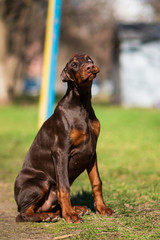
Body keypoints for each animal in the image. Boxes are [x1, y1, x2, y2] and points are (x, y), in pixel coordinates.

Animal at [14, 54, 114, 223]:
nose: (89, 67)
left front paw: (102, 208)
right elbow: (64, 187)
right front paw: (70, 216)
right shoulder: (61, 152)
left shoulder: (92, 152)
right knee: (23, 213)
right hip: (40, 183)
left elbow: (97, 182)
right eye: (73, 64)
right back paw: (49, 215)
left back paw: (75, 209)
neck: (82, 104)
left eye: (89, 59)